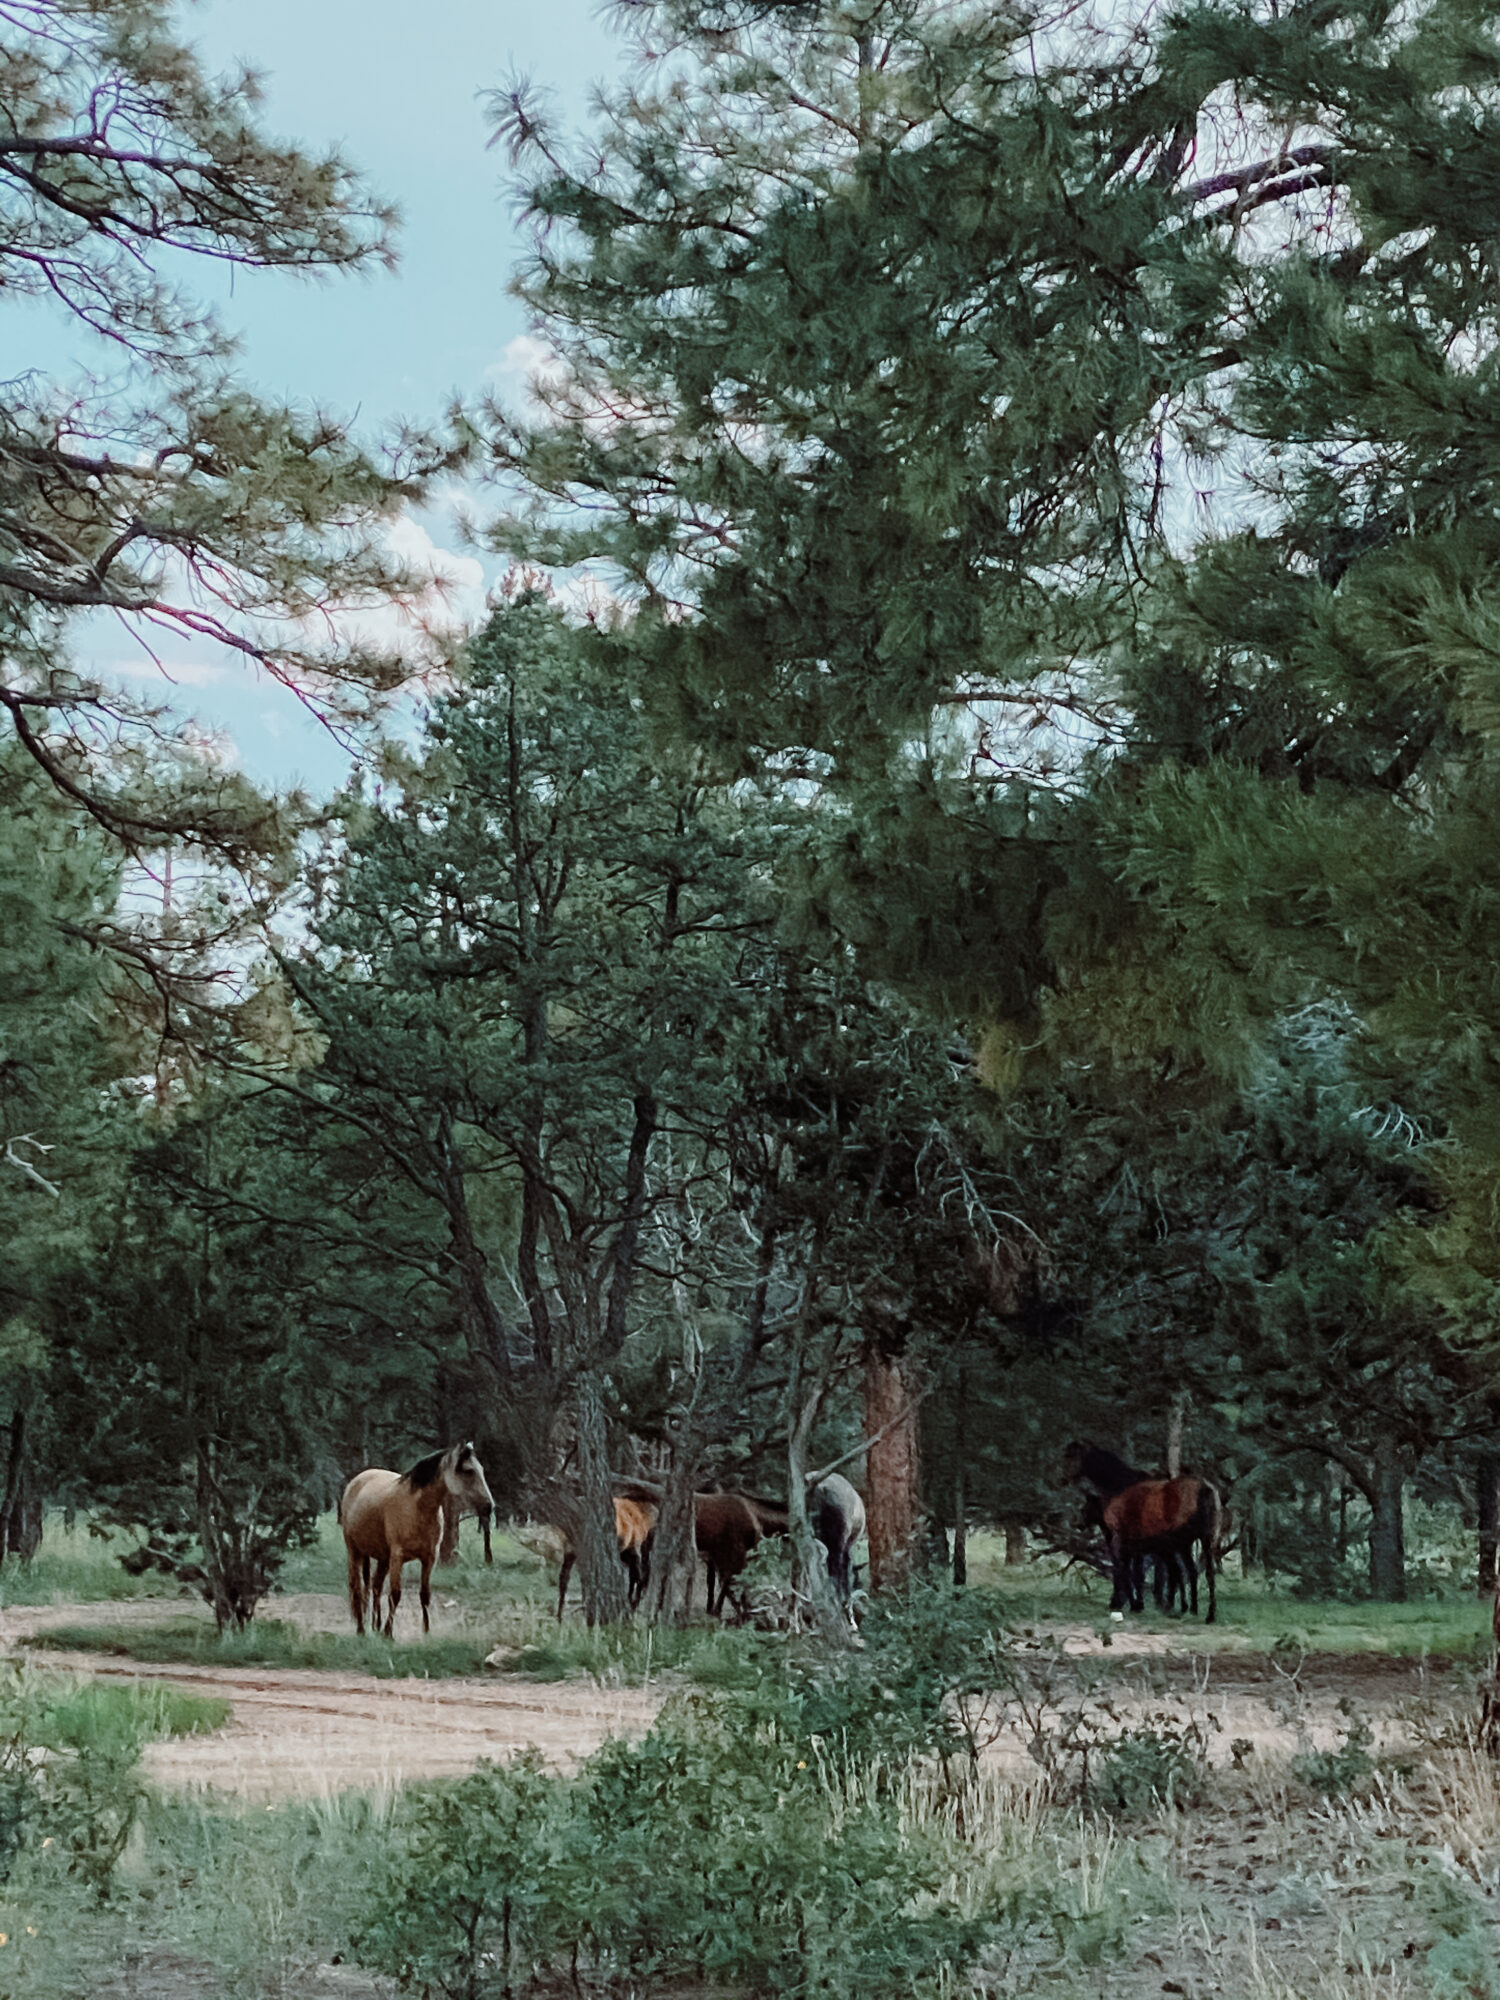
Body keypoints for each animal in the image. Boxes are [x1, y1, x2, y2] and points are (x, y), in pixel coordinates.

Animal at [340, 1440, 494, 1640]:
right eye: (468, 1471)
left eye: (481, 1469)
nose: (489, 1506)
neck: (416, 1507)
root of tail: (356, 1481)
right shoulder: (397, 1557)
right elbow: (395, 1595)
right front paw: (389, 1633)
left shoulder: (429, 1558)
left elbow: (425, 1595)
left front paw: (426, 1631)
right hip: (355, 1552)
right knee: (357, 1589)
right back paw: (361, 1629)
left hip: (383, 1558)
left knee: (375, 1586)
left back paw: (375, 1626)